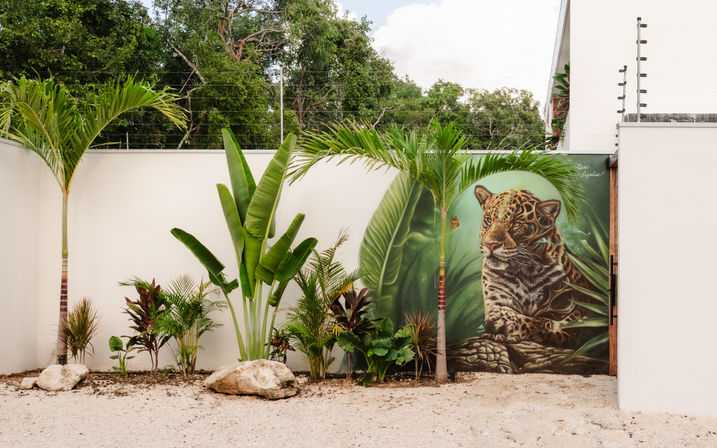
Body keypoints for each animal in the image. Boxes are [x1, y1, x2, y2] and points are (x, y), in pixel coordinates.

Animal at [473, 185, 594, 348]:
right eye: (488, 220)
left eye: (516, 224)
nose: (490, 245)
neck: (525, 271)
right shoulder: (496, 296)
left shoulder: (569, 323)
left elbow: (540, 322)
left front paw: (504, 320)